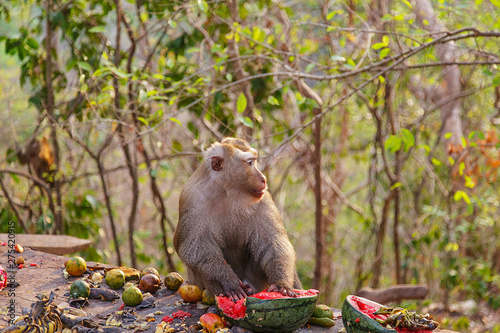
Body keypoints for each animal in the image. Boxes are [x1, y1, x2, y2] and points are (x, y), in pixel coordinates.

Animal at [174, 136, 302, 302]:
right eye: (250, 162)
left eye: (254, 160)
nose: (263, 179)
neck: (228, 192)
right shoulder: (193, 199)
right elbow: (193, 246)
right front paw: (228, 281)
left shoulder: (263, 199)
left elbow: (272, 242)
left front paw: (281, 284)